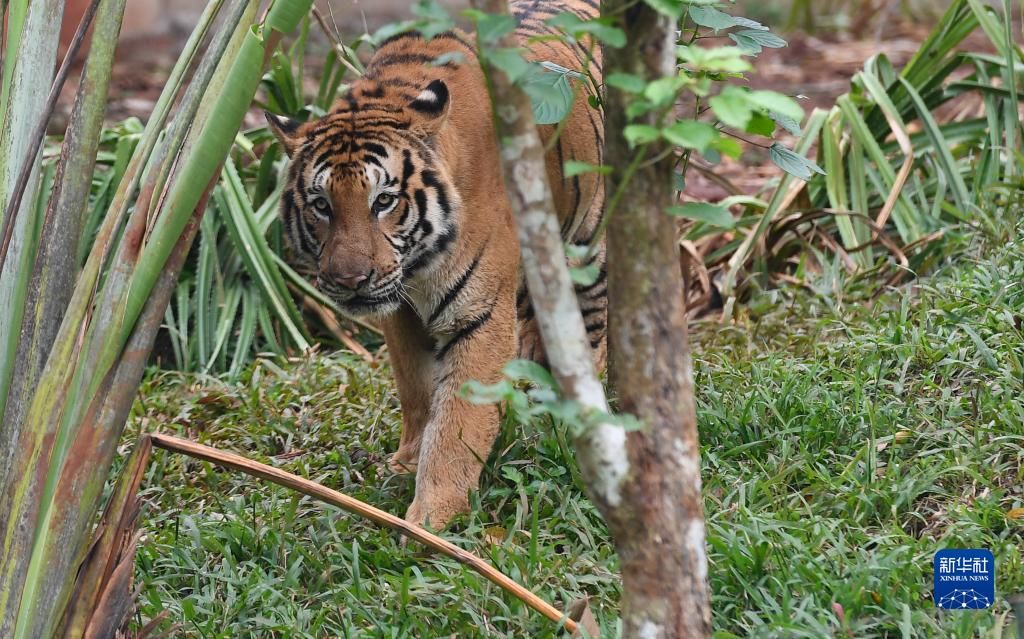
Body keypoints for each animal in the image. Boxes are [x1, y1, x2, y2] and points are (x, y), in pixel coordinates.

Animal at [268, 0, 606, 528]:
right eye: (322, 205)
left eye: (383, 201)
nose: (349, 280)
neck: (418, 265)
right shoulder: (400, 316)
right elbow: (417, 390)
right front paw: (407, 462)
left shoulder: (478, 316)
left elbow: (458, 421)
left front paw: (432, 519)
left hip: (588, 252)